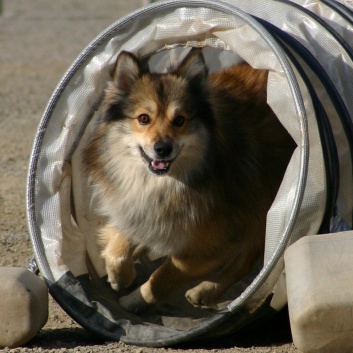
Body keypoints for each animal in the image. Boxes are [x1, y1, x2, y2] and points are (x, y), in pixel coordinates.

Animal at [82, 47, 294, 310]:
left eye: (180, 120)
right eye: (143, 118)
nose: (163, 149)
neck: (166, 183)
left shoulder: (208, 246)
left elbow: (161, 278)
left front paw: (136, 299)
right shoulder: (140, 208)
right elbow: (121, 241)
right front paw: (119, 275)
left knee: (248, 258)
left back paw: (205, 289)